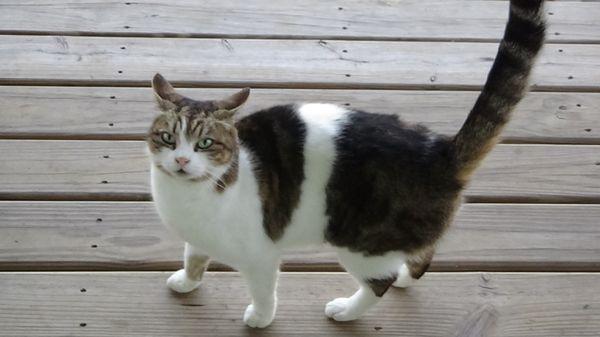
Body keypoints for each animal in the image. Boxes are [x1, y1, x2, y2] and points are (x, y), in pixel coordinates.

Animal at [148, 0, 548, 326]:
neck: (190, 198)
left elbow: (263, 292)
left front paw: (260, 319)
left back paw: (346, 310)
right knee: (421, 256)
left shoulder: (261, 255)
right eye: (168, 138)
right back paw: (406, 273)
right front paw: (187, 281)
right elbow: (193, 257)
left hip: (363, 244)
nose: (181, 159)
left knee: (380, 282)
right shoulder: (198, 237)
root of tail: (440, 150)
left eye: (205, 143)